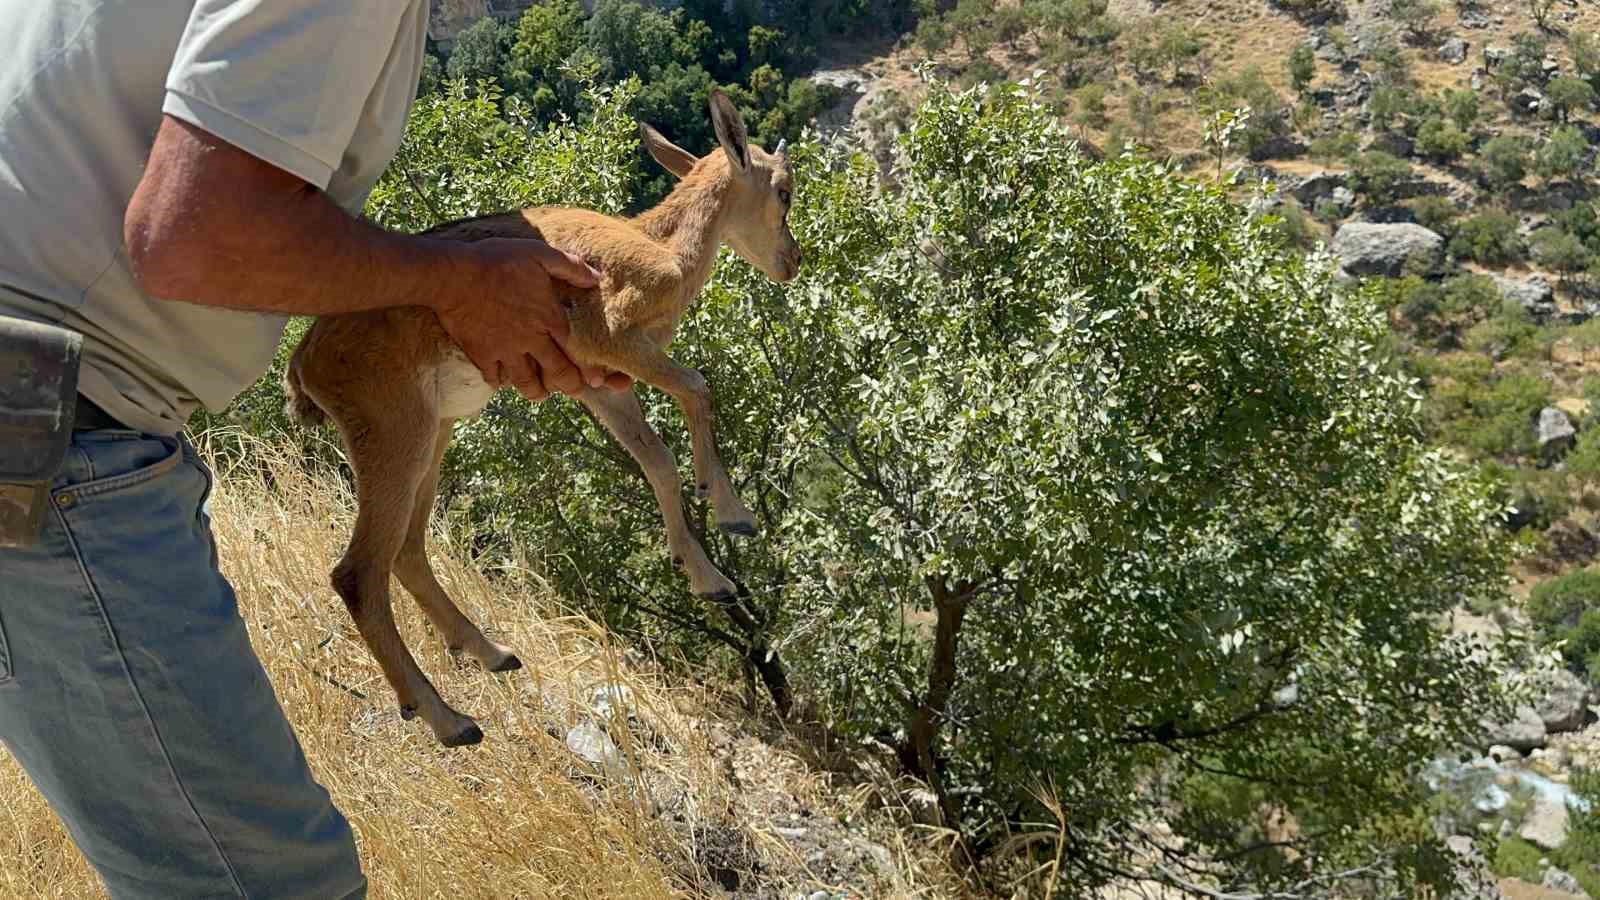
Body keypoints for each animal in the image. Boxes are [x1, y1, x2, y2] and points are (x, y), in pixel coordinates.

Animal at [284, 91, 800, 743]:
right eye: (784, 190)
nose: (794, 260)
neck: (665, 251)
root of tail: (306, 362)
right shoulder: (611, 333)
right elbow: (697, 388)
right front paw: (734, 515)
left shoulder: (602, 383)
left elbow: (655, 457)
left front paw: (708, 579)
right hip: (395, 432)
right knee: (358, 571)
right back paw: (450, 719)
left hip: (432, 435)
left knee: (406, 550)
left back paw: (494, 654)